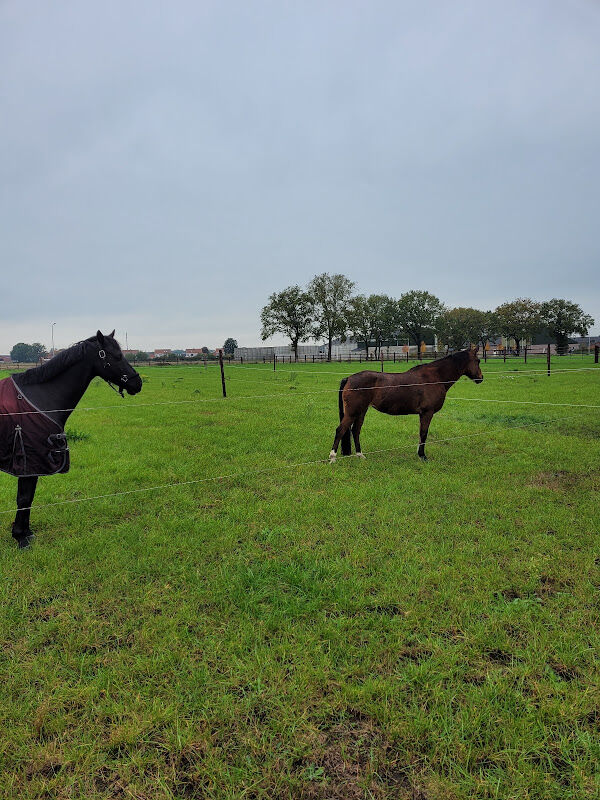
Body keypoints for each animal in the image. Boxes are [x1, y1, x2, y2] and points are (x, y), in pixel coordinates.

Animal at [0, 332, 142, 552]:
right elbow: (24, 498)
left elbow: (28, 498)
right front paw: (21, 537)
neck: (40, 398)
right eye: (117, 356)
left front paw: (26, 533)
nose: (138, 383)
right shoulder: (28, 464)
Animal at [330, 348, 486, 462]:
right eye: (478, 360)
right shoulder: (427, 413)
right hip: (352, 412)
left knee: (355, 431)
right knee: (340, 430)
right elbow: (424, 433)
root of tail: (349, 378)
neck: (436, 377)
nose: (481, 378)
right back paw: (332, 458)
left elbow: (421, 434)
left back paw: (360, 455)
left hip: (361, 411)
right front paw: (422, 456)